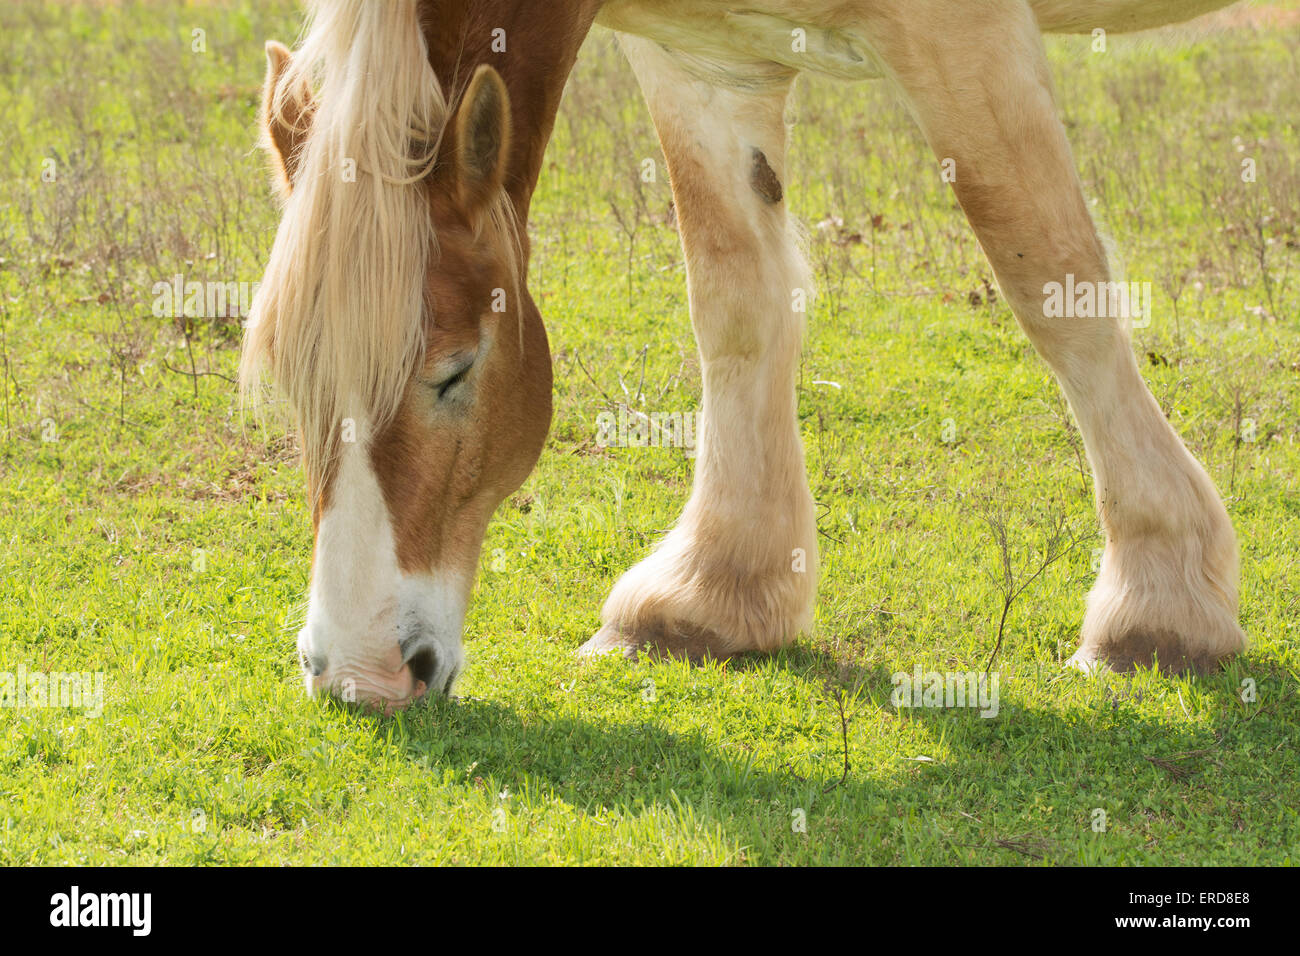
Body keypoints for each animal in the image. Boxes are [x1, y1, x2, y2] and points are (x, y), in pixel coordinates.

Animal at [244, 0, 1248, 712]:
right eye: (293, 389)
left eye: (454, 373)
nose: (363, 674)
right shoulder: (700, 60)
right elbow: (734, 299)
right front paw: (711, 592)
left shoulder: (964, 34)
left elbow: (1049, 278)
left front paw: (1156, 606)